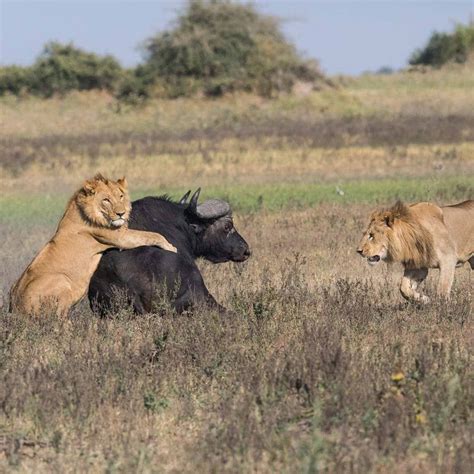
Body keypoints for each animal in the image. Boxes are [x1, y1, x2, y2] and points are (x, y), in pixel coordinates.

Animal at [9, 172, 178, 316]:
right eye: (106, 200)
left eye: (121, 196)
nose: (121, 213)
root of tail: (17, 311)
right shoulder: (120, 237)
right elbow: (152, 235)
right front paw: (171, 247)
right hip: (61, 280)